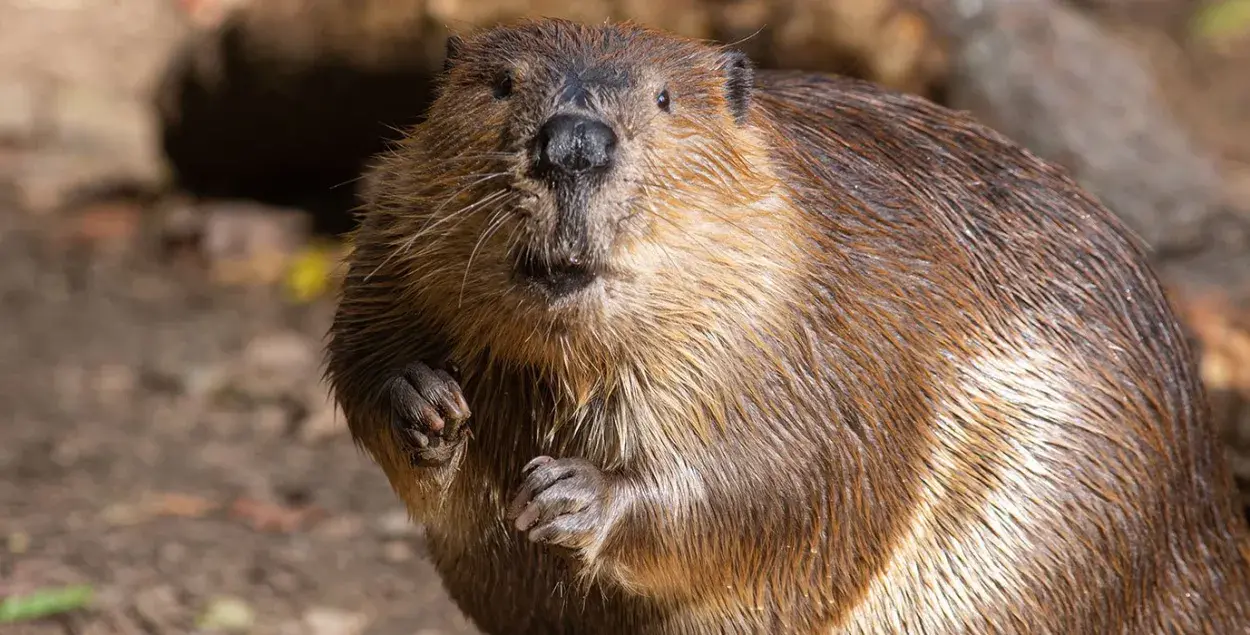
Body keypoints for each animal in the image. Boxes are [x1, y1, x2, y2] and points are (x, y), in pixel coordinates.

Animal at [327, 18, 1250, 635]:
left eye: (665, 98)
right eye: (502, 84)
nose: (575, 144)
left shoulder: (835, 315)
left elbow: (787, 478)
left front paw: (573, 493)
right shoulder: (390, 223)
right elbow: (359, 350)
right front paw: (426, 401)